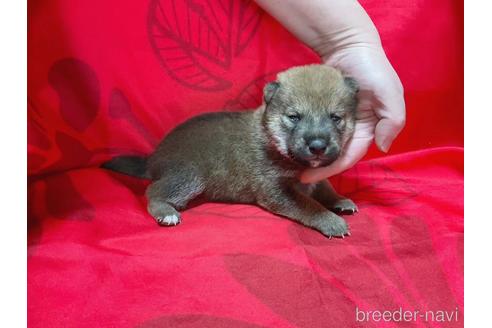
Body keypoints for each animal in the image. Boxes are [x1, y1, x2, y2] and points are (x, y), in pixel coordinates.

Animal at [102, 64, 360, 238]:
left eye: (336, 117)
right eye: (294, 117)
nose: (317, 146)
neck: (271, 137)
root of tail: (153, 158)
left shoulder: (314, 179)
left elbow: (325, 188)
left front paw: (340, 200)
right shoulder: (275, 190)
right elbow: (308, 205)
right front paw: (330, 220)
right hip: (190, 176)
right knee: (153, 191)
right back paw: (166, 212)